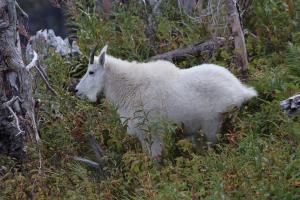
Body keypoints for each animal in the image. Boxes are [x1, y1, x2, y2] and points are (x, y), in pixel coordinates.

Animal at [75, 45, 255, 158]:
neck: (128, 88)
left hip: (212, 125)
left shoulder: (152, 133)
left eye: (91, 72)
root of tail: (241, 90)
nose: (76, 90)